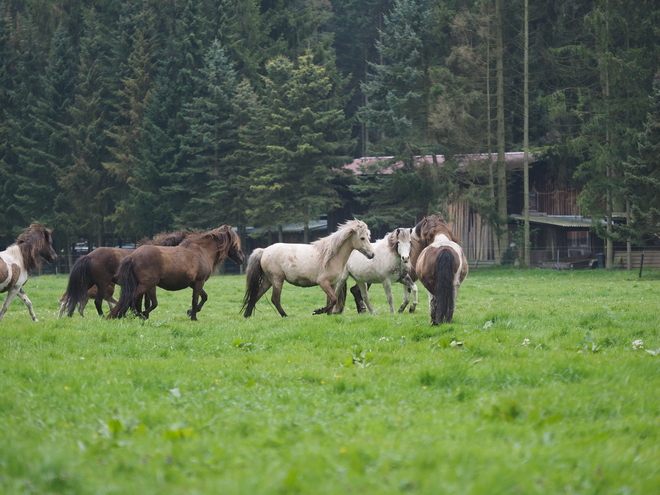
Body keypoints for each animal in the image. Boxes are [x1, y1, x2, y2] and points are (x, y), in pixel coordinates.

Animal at [59, 230, 195, 318]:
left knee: (75, 297)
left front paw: (141, 315)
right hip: (102, 284)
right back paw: (102, 316)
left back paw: (70, 315)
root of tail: (89, 256)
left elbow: (142, 302)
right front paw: (141, 315)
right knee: (97, 301)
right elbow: (145, 302)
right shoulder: (149, 285)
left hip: (88, 283)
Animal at [109, 226, 244, 322]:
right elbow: (195, 299)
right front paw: (194, 317)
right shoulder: (199, 282)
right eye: (235, 244)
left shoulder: (193, 283)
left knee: (139, 301)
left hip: (147, 286)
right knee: (133, 299)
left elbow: (204, 297)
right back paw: (138, 315)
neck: (201, 251)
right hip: (146, 285)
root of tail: (133, 256)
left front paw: (191, 312)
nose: (242, 259)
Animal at [242, 220, 376, 318]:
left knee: (256, 295)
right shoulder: (323, 282)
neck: (330, 256)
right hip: (277, 280)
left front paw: (327, 315)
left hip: (268, 280)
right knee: (275, 299)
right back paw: (285, 315)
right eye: (362, 238)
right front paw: (317, 311)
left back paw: (247, 315)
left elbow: (331, 300)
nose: (372, 255)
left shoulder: (332, 284)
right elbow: (333, 300)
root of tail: (264, 250)